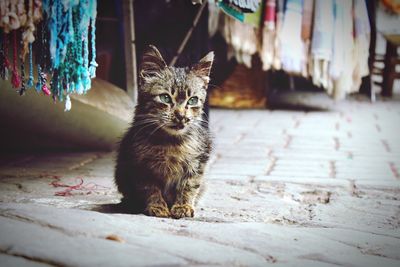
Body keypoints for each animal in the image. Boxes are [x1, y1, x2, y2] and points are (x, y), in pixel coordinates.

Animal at [114, 45, 214, 219]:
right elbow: (150, 188)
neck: (171, 142)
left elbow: (189, 185)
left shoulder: (198, 161)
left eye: (193, 100)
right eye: (165, 98)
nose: (181, 116)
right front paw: (157, 207)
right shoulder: (140, 165)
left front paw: (183, 206)